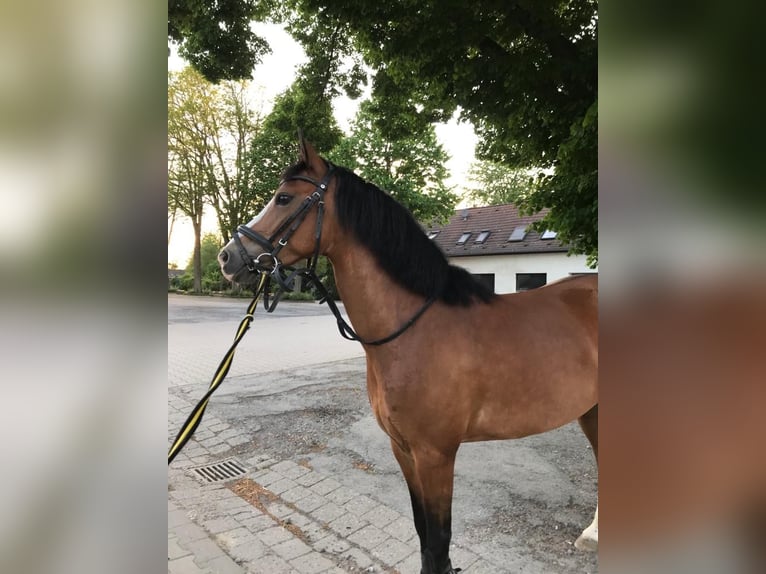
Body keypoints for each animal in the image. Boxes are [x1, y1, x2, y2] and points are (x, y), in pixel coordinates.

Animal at [218, 136, 600, 574]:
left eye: (283, 198)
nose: (227, 257)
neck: (414, 328)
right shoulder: (402, 449)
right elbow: (423, 536)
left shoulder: (436, 455)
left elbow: (439, 541)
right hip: (592, 411)